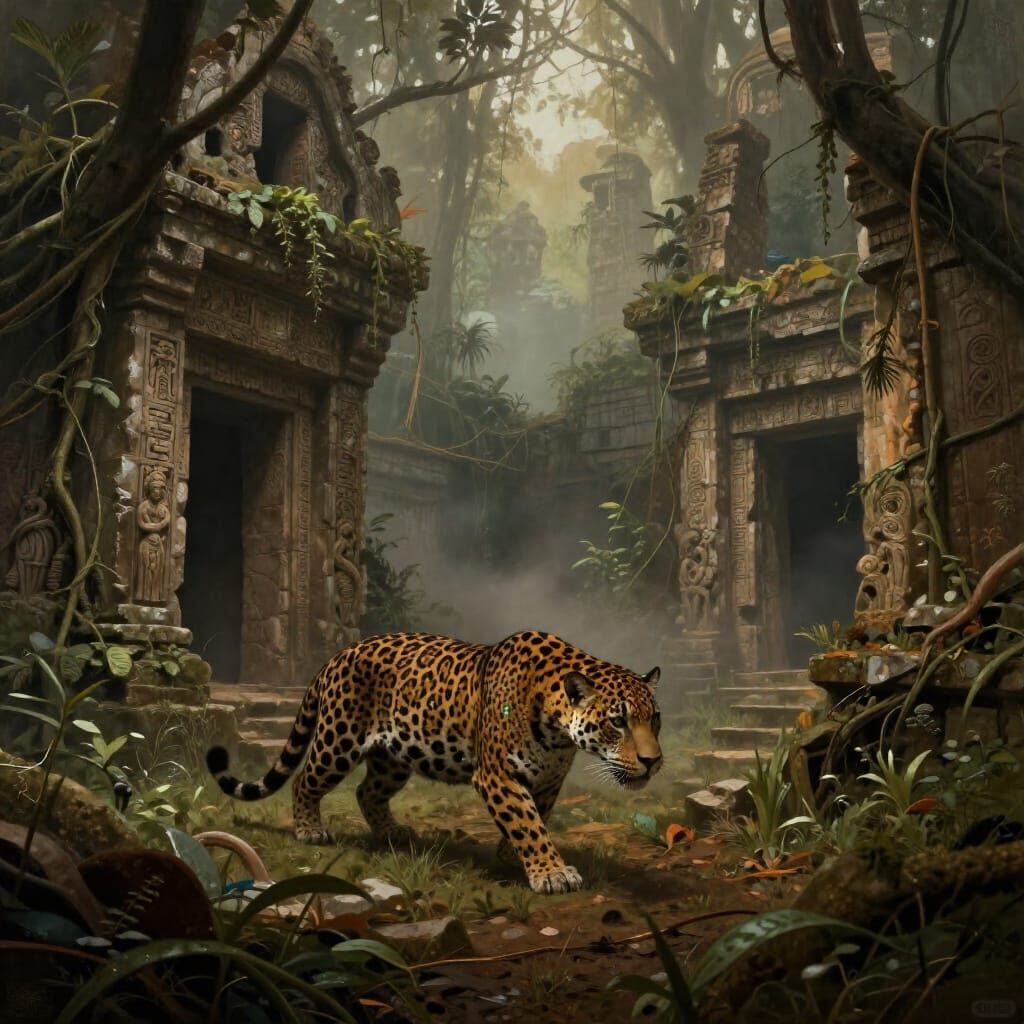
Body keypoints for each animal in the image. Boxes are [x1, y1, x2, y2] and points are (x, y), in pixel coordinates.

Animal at [206, 629, 662, 894]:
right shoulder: (497, 776)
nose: (653, 761)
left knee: (367, 791)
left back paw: (393, 831)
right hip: (339, 740)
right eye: (618, 721)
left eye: (654, 717)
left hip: (393, 757)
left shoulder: (548, 779)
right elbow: (527, 822)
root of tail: (339, 653)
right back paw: (309, 830)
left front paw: (513, 855)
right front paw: (551, 873)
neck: (558, 732)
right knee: (305, 779)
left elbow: (536, 817)